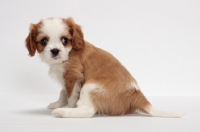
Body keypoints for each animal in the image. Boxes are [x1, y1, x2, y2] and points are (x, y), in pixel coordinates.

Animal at [25, 17, 181, 117]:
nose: (55, 51)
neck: (69, 53)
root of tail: (138, 95)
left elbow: (70, 96)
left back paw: (63, 113)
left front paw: (68, 107)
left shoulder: (73, 76)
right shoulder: (66, 79)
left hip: (90, 86)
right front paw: (57, 103)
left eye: (64, 40)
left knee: (88, 111)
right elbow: (63, 92)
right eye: (44, 41)